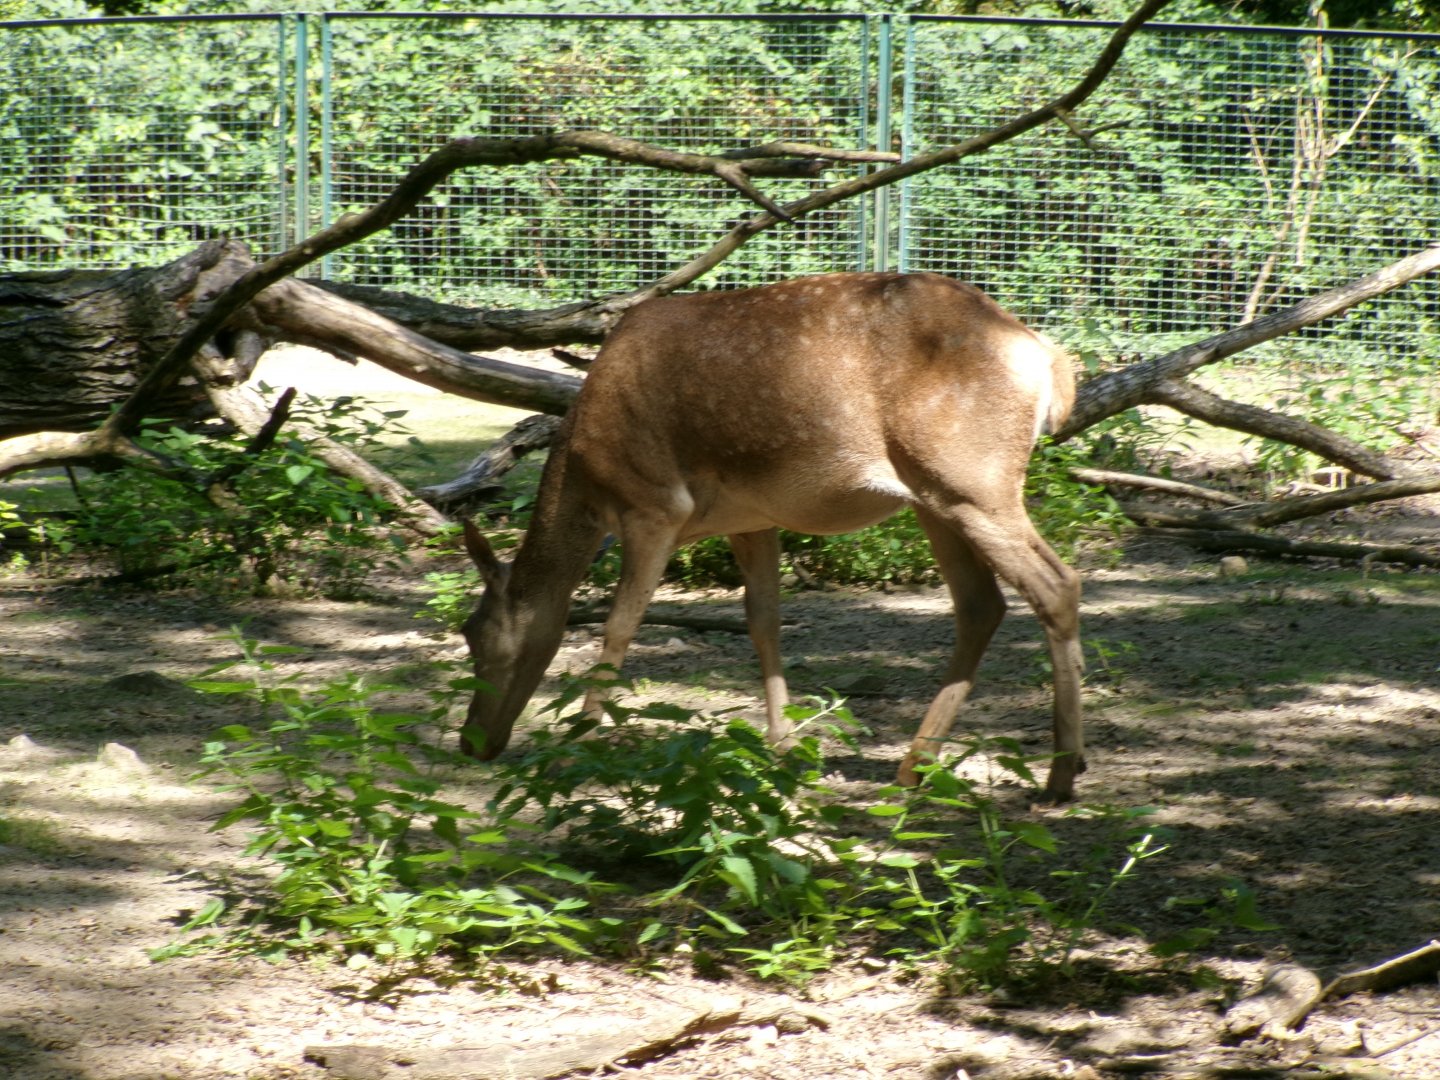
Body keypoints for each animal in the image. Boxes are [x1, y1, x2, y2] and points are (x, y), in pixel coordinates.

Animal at [459, 271, 1086, 802]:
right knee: (981, 604)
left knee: (1056, 585)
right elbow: (763, 620)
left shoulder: (653, 505)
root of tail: (1049, 359)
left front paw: (579, 743)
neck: (583, 477)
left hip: (974, 479)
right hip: (935, 496)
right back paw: (915, 764)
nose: (471, 742)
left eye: (476, 635)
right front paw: (781, 744)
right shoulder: (749, 518)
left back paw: (1060, 773)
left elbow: (619, 626)